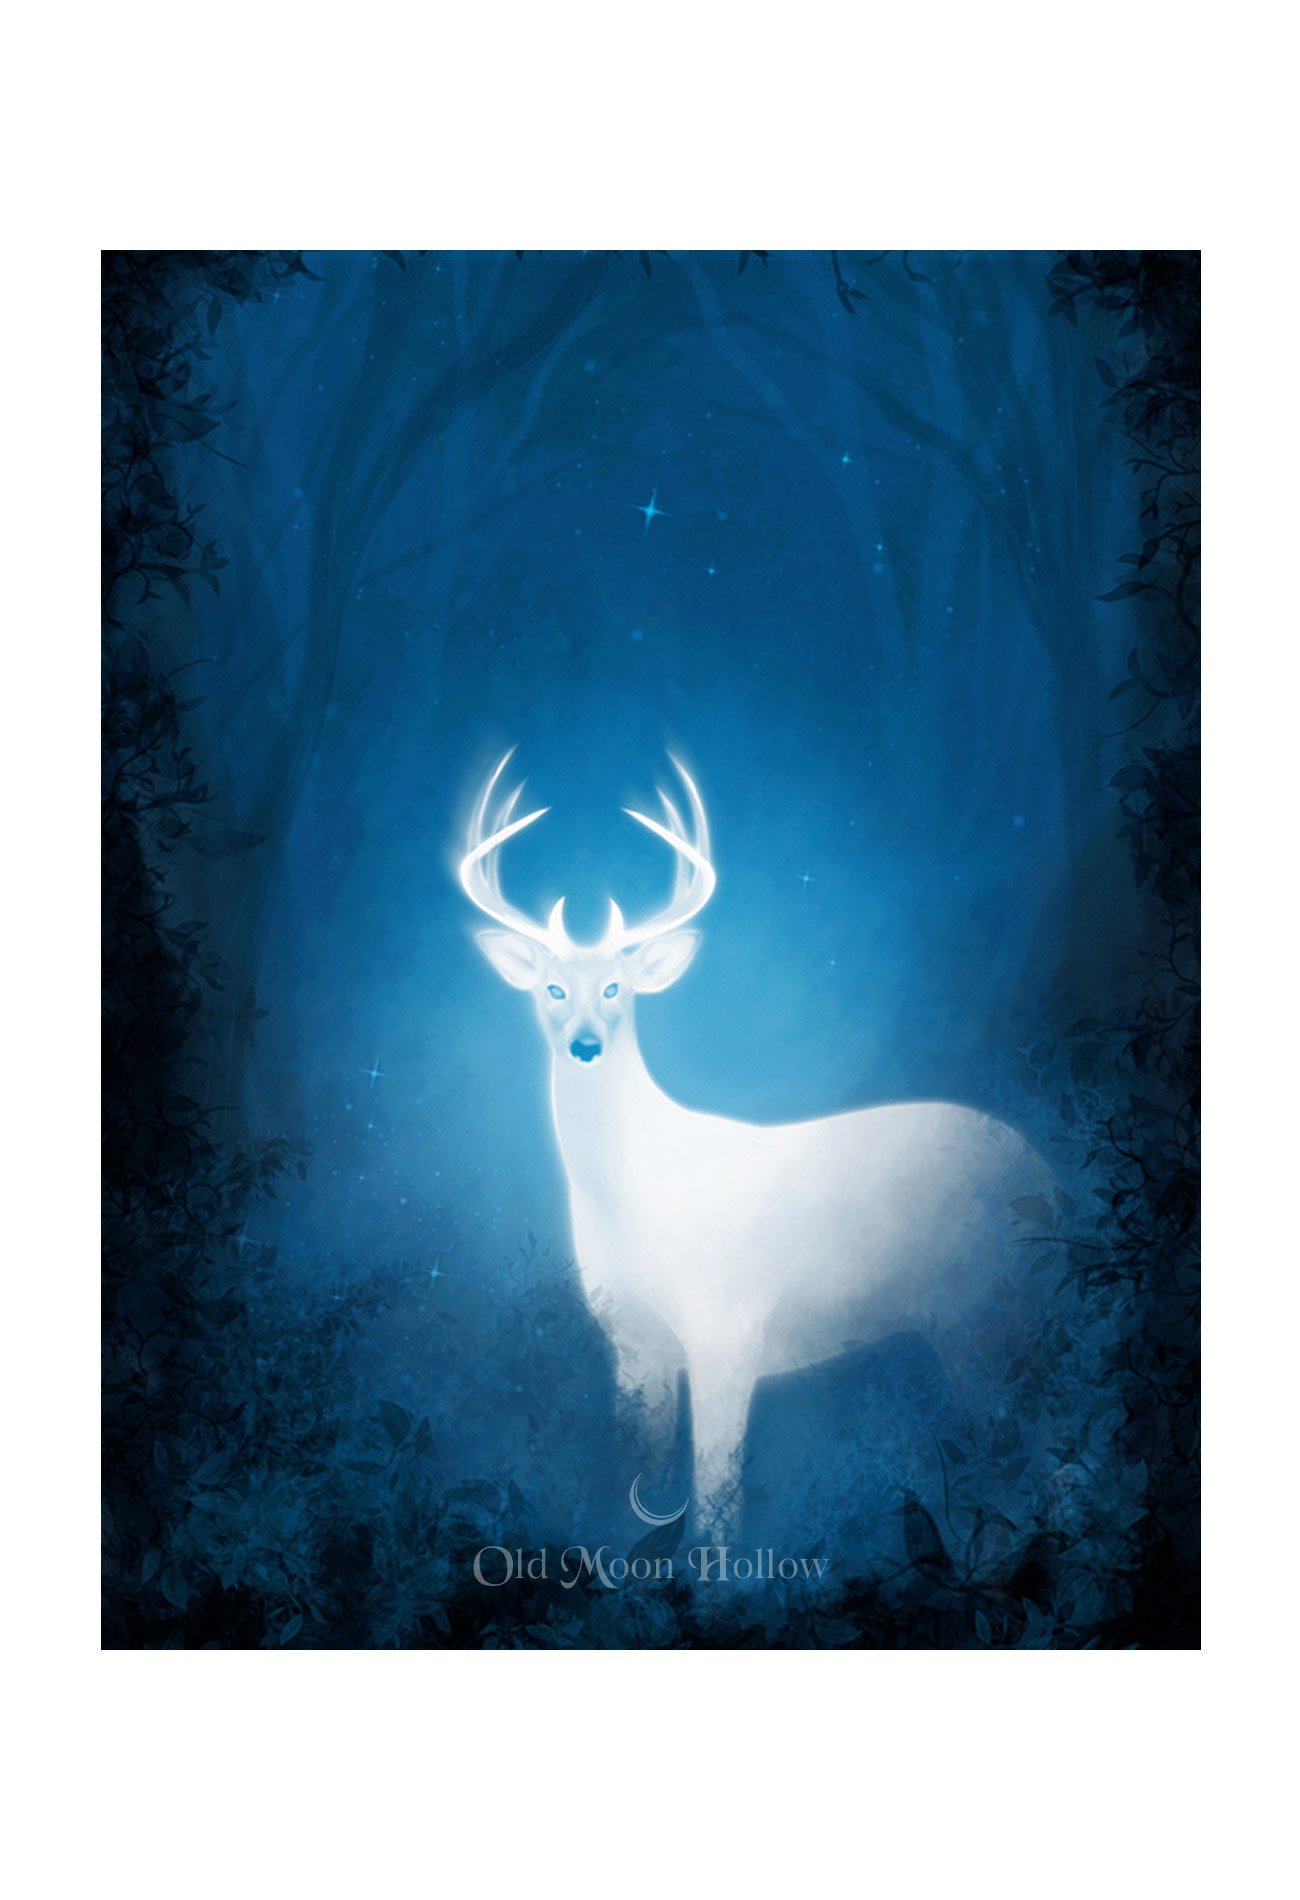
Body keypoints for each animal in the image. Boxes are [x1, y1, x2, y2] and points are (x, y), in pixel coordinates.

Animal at [460, 750, 1049, 1540]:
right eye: (552, 988)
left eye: (616, 987)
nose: (585, 1044)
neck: (633, 1196)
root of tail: (1051, 1176)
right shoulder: (631, 1344)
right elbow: (639, 1480)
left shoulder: (729, 1328)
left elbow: (716, 1507)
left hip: (989, 1313)